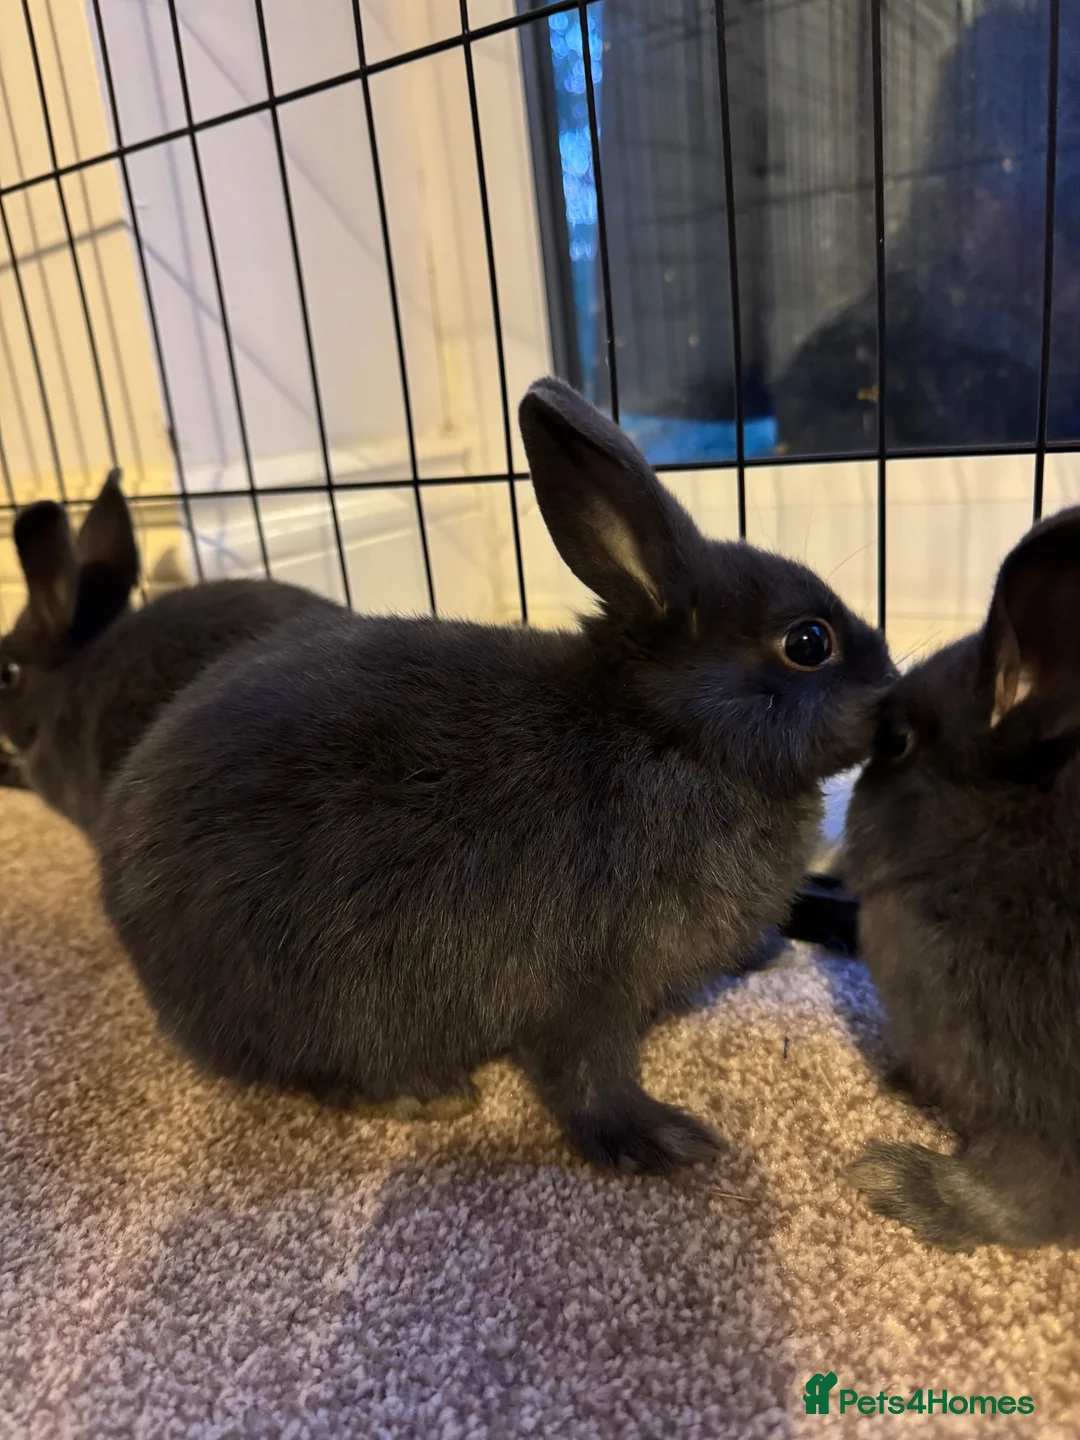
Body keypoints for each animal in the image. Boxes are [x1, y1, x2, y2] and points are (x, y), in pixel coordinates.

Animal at [97, 378, 893, 1174]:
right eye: (808, 643)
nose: (892, 691)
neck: (671, 737)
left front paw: (763, 953)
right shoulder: (583, 987)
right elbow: (587, 1074)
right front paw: (668, 1143)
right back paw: (423, 1095)